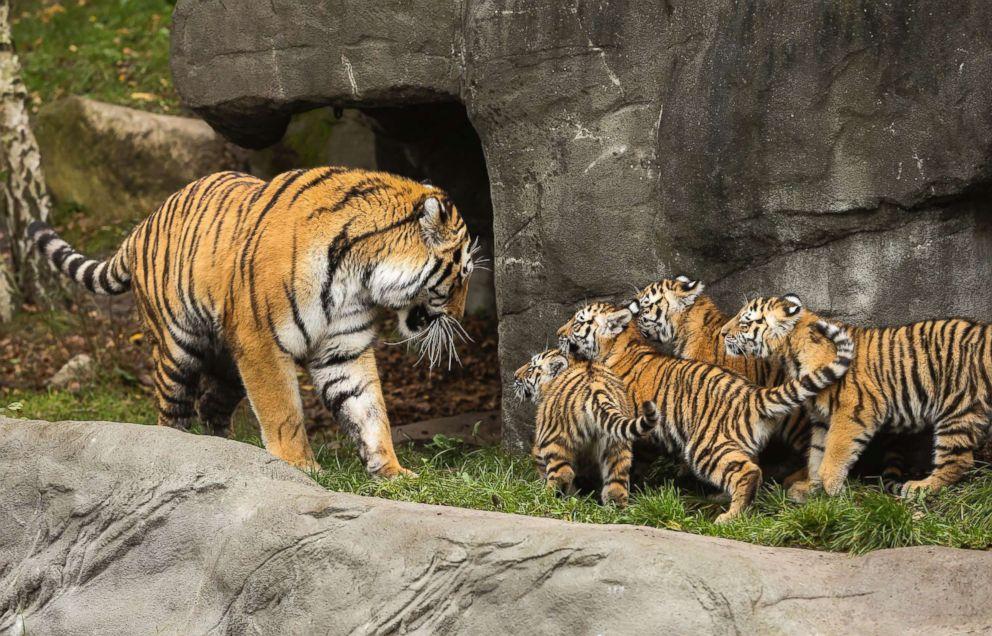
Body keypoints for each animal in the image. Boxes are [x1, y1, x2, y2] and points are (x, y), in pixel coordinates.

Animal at [30, 169, 476, 476]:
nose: (460, 317)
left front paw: (392, 471)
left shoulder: (343, 349)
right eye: (463, 273)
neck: (361, 274)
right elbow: (284, 411)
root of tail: (141, 226)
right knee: (171, 410)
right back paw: (180, 448)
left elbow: (368, 409)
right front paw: (300, 466)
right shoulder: (261, 342)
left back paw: (228, 454)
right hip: (177, 348)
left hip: (228, 365)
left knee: (211, 405)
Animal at [720, 296, 992, 500]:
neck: (791, 355)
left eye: (744, 323)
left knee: (958, 460)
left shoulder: (854, 411)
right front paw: (810, 488)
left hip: (957, 408)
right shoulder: (822, 418)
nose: (722, 333)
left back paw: (920, 487)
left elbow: (834, 454)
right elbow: (817, 453)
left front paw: (832, 490)